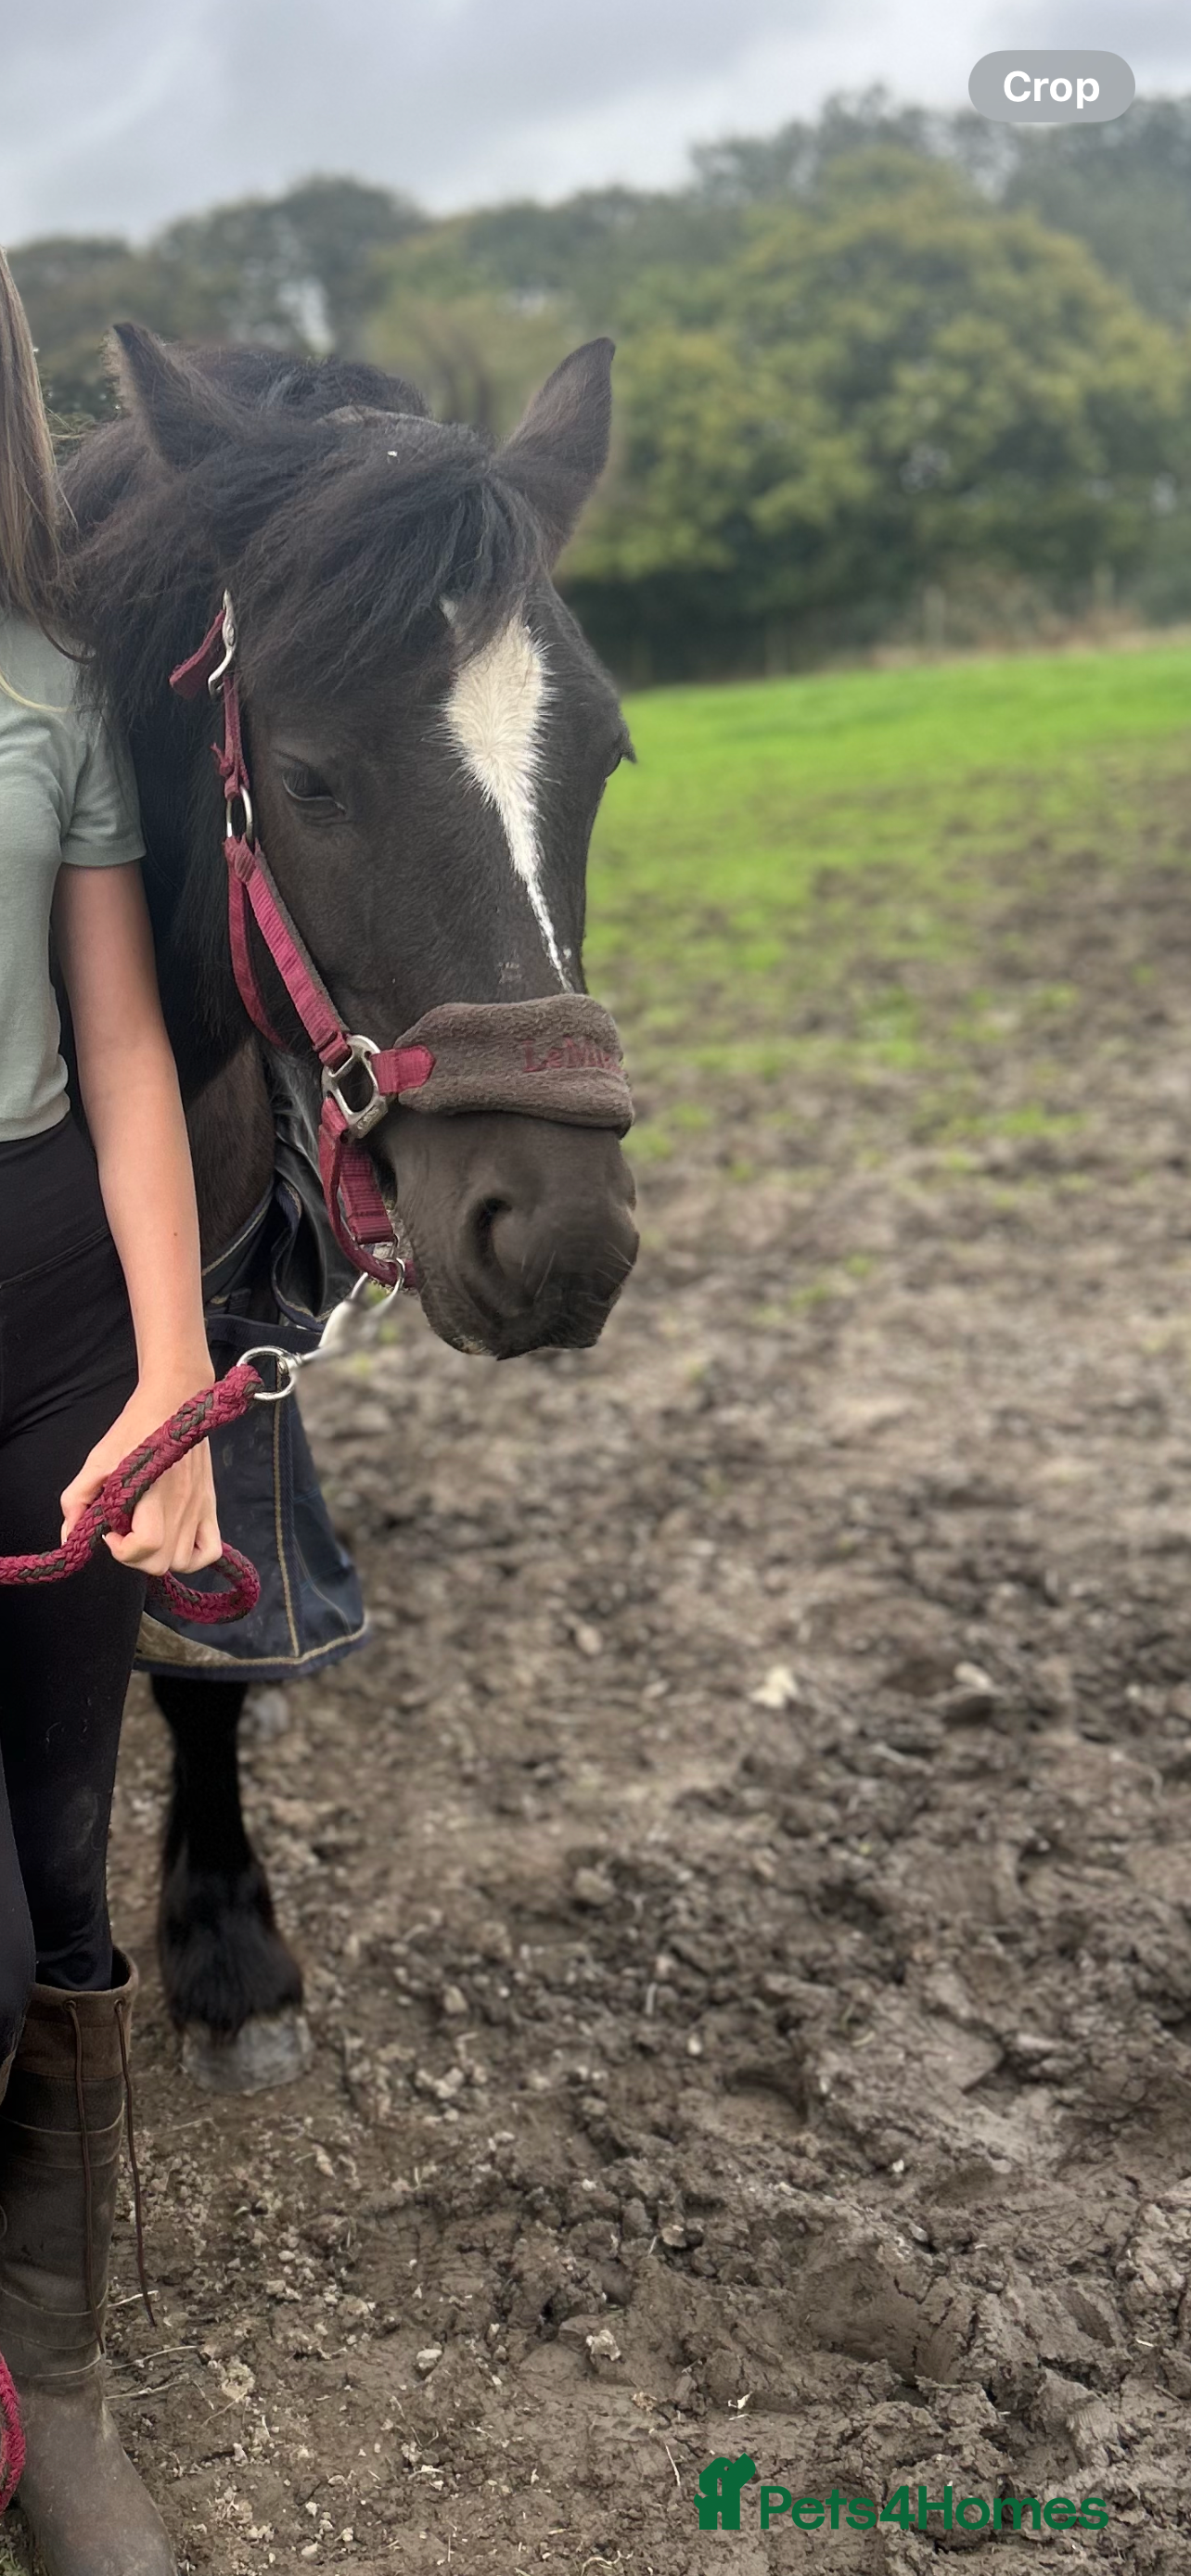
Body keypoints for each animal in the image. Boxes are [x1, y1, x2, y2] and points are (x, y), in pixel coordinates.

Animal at [60, 324, 639, 2088]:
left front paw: (225, 1945)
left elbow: (207, 1655)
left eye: (604, 759)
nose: (561, 1235)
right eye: (308, 777)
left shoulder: (216, 1351)